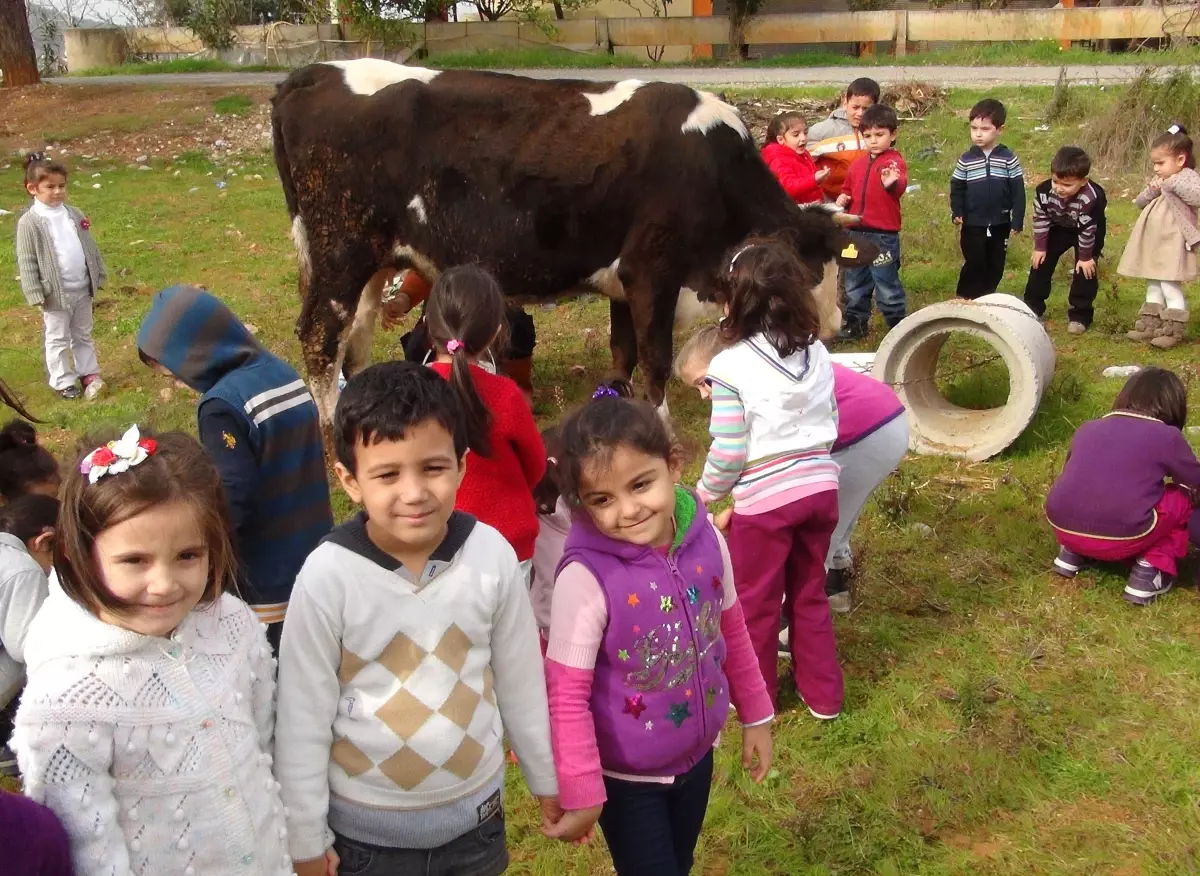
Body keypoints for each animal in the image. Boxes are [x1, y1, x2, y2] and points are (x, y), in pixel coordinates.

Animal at [270, 57, 873, 434]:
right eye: (811, 269)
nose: (834, 326)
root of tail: (312, 73)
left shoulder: (625, 283)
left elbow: (623, 351)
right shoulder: (653, 270)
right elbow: (654, 358)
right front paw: (660, 423)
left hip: (371, 261)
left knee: (355, 338)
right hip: (339, 250)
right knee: (320, 336)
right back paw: (331, 431)